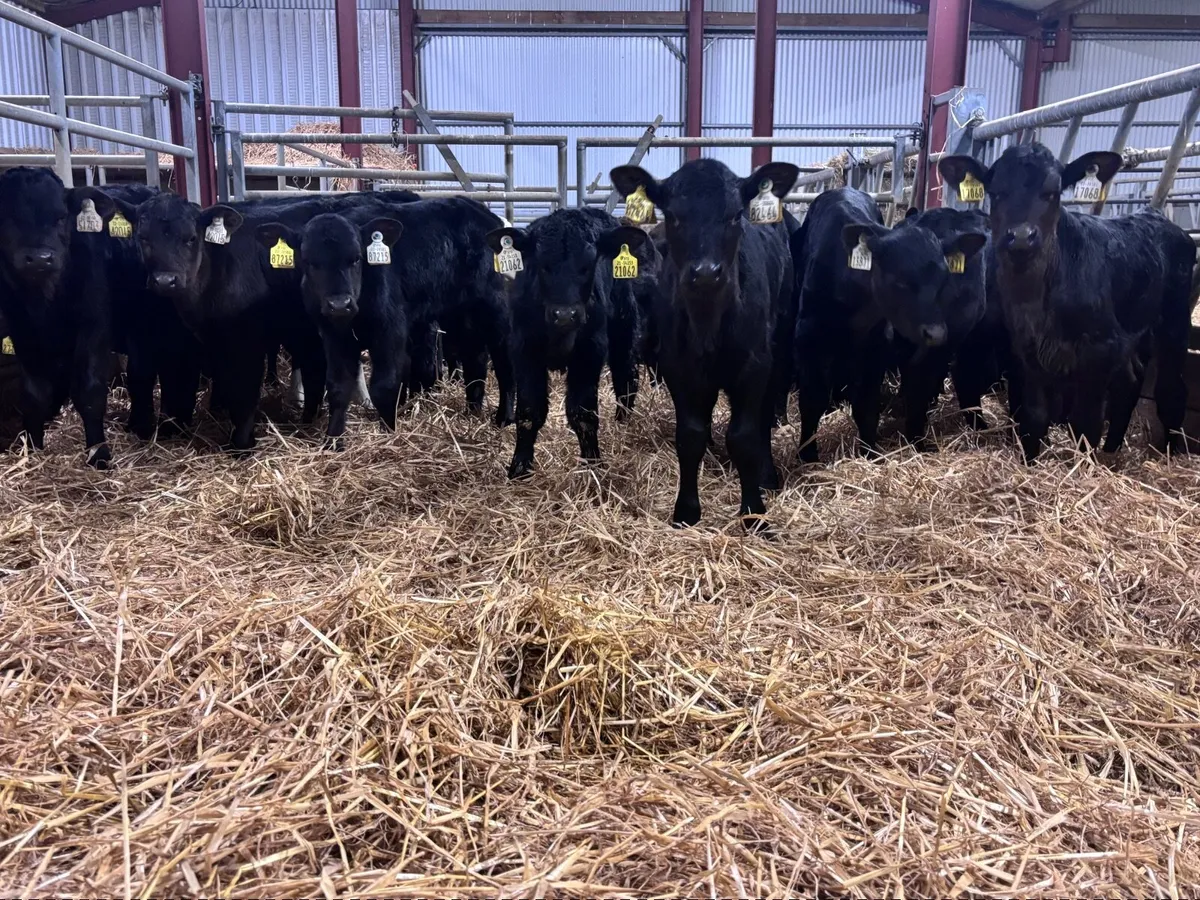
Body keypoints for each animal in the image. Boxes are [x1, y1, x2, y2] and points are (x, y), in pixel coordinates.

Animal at [0, 167, 117, 467]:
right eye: (8, 218)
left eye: (61, 217)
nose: (41, 258)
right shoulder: (22, 332)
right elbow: (34, 395)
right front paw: (33, 451)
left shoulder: (94, 324)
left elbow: (89, 391)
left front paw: (98, 454)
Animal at [484, 208, 648, 479]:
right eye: (542, 264)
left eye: (589, 264)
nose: (564, 314)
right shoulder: (524, 350)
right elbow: (529, 411)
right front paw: (519, 467)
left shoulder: (590, 351)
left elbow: (583, 414)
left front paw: (593, 465)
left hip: (624, 326)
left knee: (626, 376)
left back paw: (623, 422)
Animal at [610, 158, 799, 533]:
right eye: (673, 216)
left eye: (735, 214)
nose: (707, 273)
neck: (708, 323)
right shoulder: (679, 370)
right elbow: (690, 435)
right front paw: (686, 511)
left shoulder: (754, 368)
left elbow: (744, 437)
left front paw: (754, 513)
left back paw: (767, 474)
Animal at [791, 187, 988, 462]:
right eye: (900, 281)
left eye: (944, 280)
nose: (937, 333)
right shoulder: (808, 341)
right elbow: (812, 402)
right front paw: (807, 455)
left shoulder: (876, 349)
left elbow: (867, 405)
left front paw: (870, 452)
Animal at [938, 143, 1196, 462]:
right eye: (996, 193)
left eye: (1052, 192)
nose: (1021, 237)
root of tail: (1155, 217)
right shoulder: (1027, 353)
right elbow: (1033, 419)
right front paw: (1030, 463)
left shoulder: (1100, 353)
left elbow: (1085, 426)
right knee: (1131, 383)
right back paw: (1112, 451)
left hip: (1174, 323)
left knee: (1171, 390)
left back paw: (1171, 453)